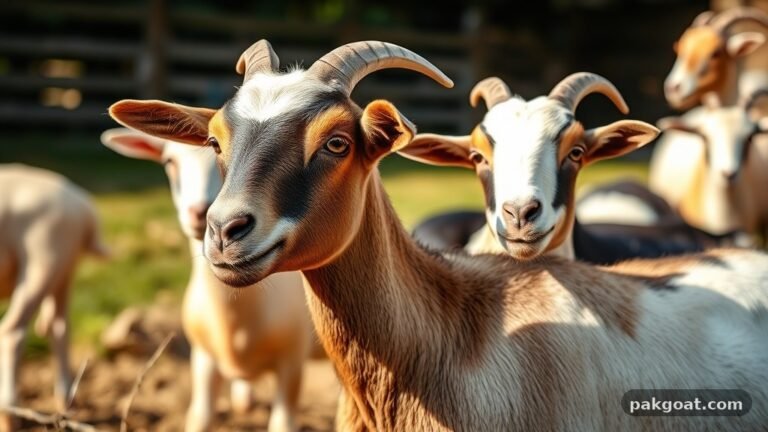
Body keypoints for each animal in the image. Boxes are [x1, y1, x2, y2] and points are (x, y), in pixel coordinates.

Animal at [0, 164, 108, 431]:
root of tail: (83, 208)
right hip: (64, 267)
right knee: (59, 325)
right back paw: (67, 406)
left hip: (43, 256)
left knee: (12, 331)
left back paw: (9, 417)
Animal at [100, 128, 318, 432]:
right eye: (169, 162)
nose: (201, 213)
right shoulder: (203, 357)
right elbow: (200, 417)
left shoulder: (293, 360)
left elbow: (283, 423)